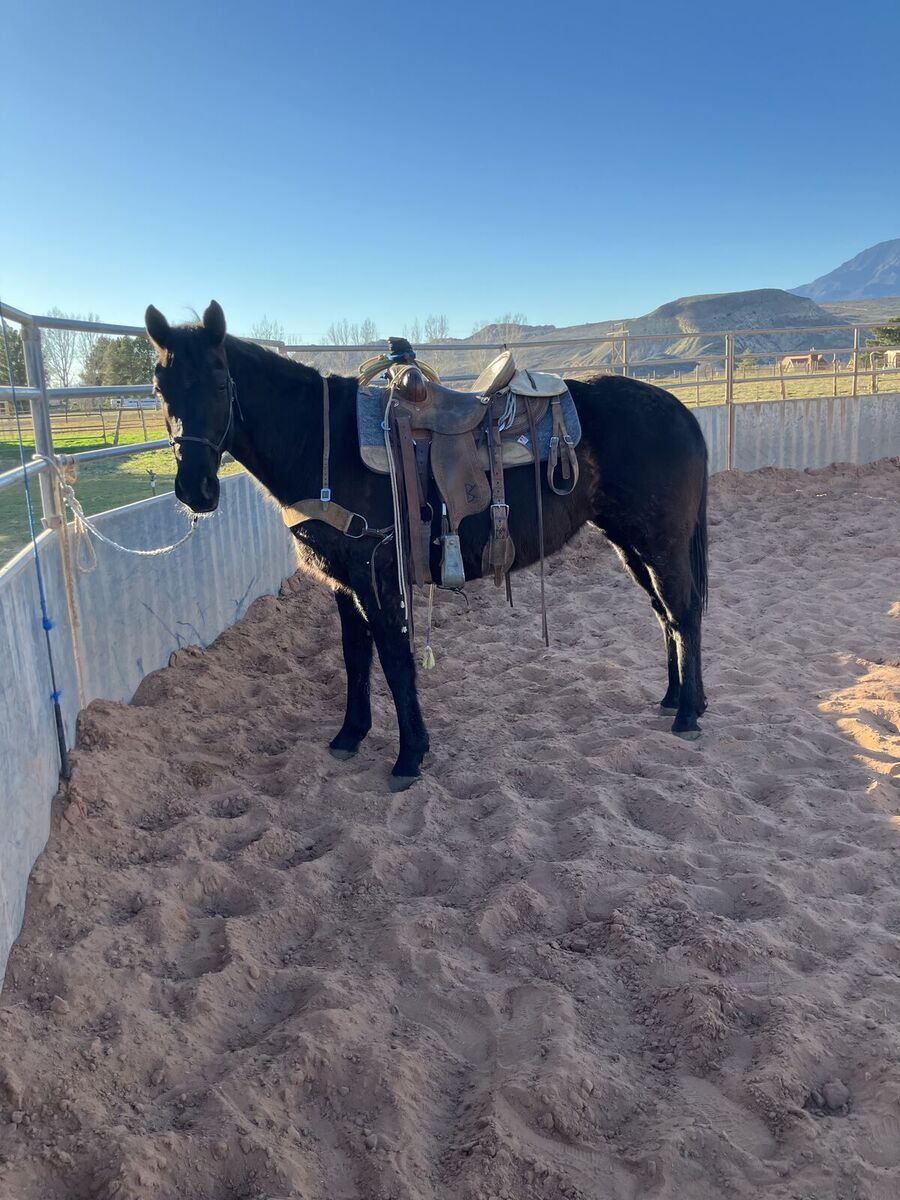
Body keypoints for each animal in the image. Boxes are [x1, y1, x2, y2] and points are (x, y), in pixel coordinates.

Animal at [145, 301, 709, 790]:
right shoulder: (343, 582)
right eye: (158, 386)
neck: (324, 446)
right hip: (629, 544)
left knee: (683, 611)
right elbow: (355, 657)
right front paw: (349, 735)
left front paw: (409, 756)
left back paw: (687, 713)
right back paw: (675, 697)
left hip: (658, 542)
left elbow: (395, 661)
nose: (196, 490)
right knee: (665, 613)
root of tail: (678, 410)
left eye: (222, 381)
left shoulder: (378, 578)